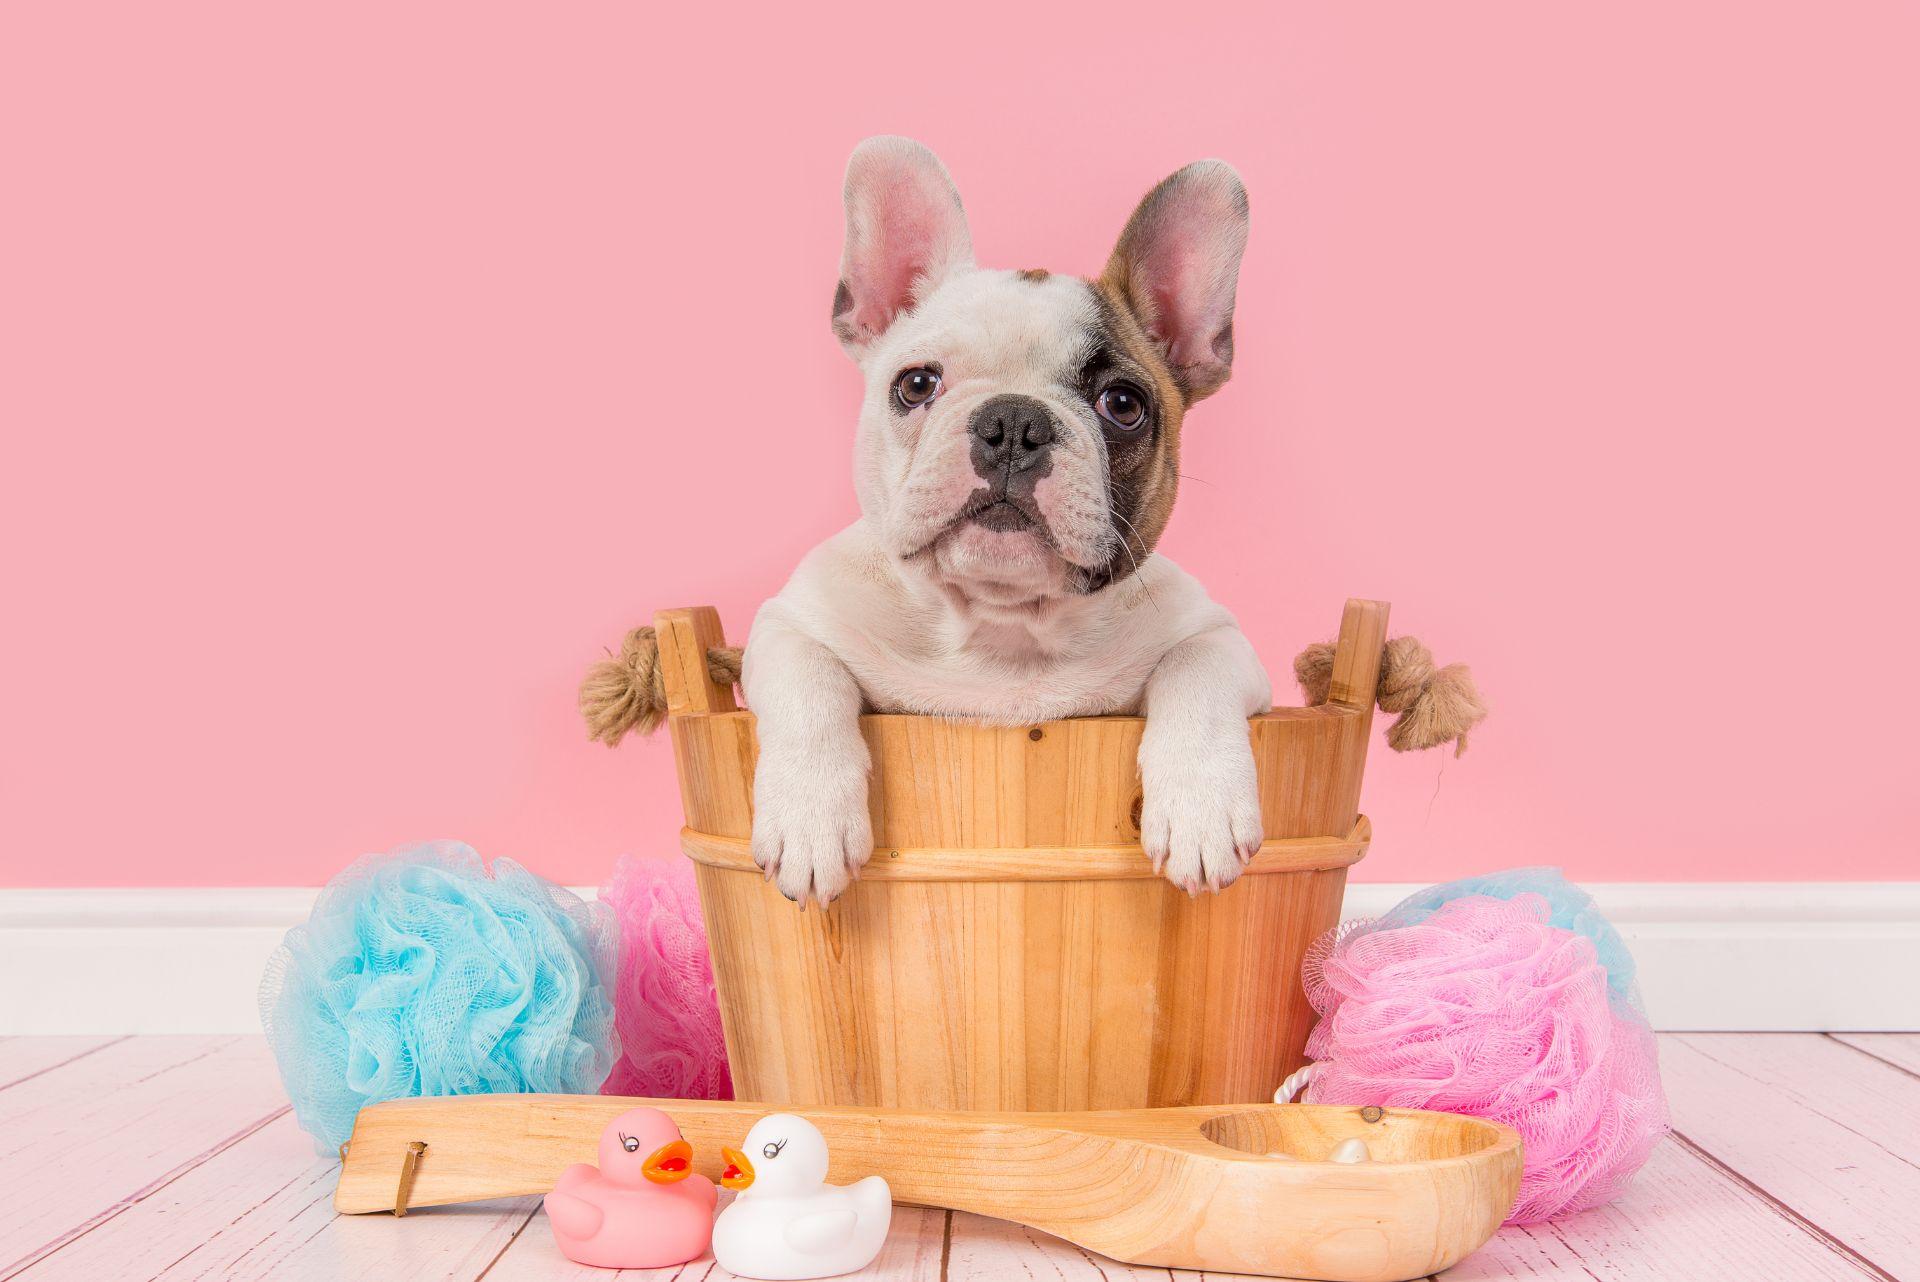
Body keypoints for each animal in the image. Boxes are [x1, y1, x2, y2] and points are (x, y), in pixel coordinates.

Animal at [748, 138, 1274, 902]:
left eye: (1123, 403)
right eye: (916, 384)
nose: (1014, 423)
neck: (1003, 628)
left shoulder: (1222, 638)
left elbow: (1197, 669)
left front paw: (1202, 810)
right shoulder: (790, 621)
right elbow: (808, 680)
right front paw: (808, 818)